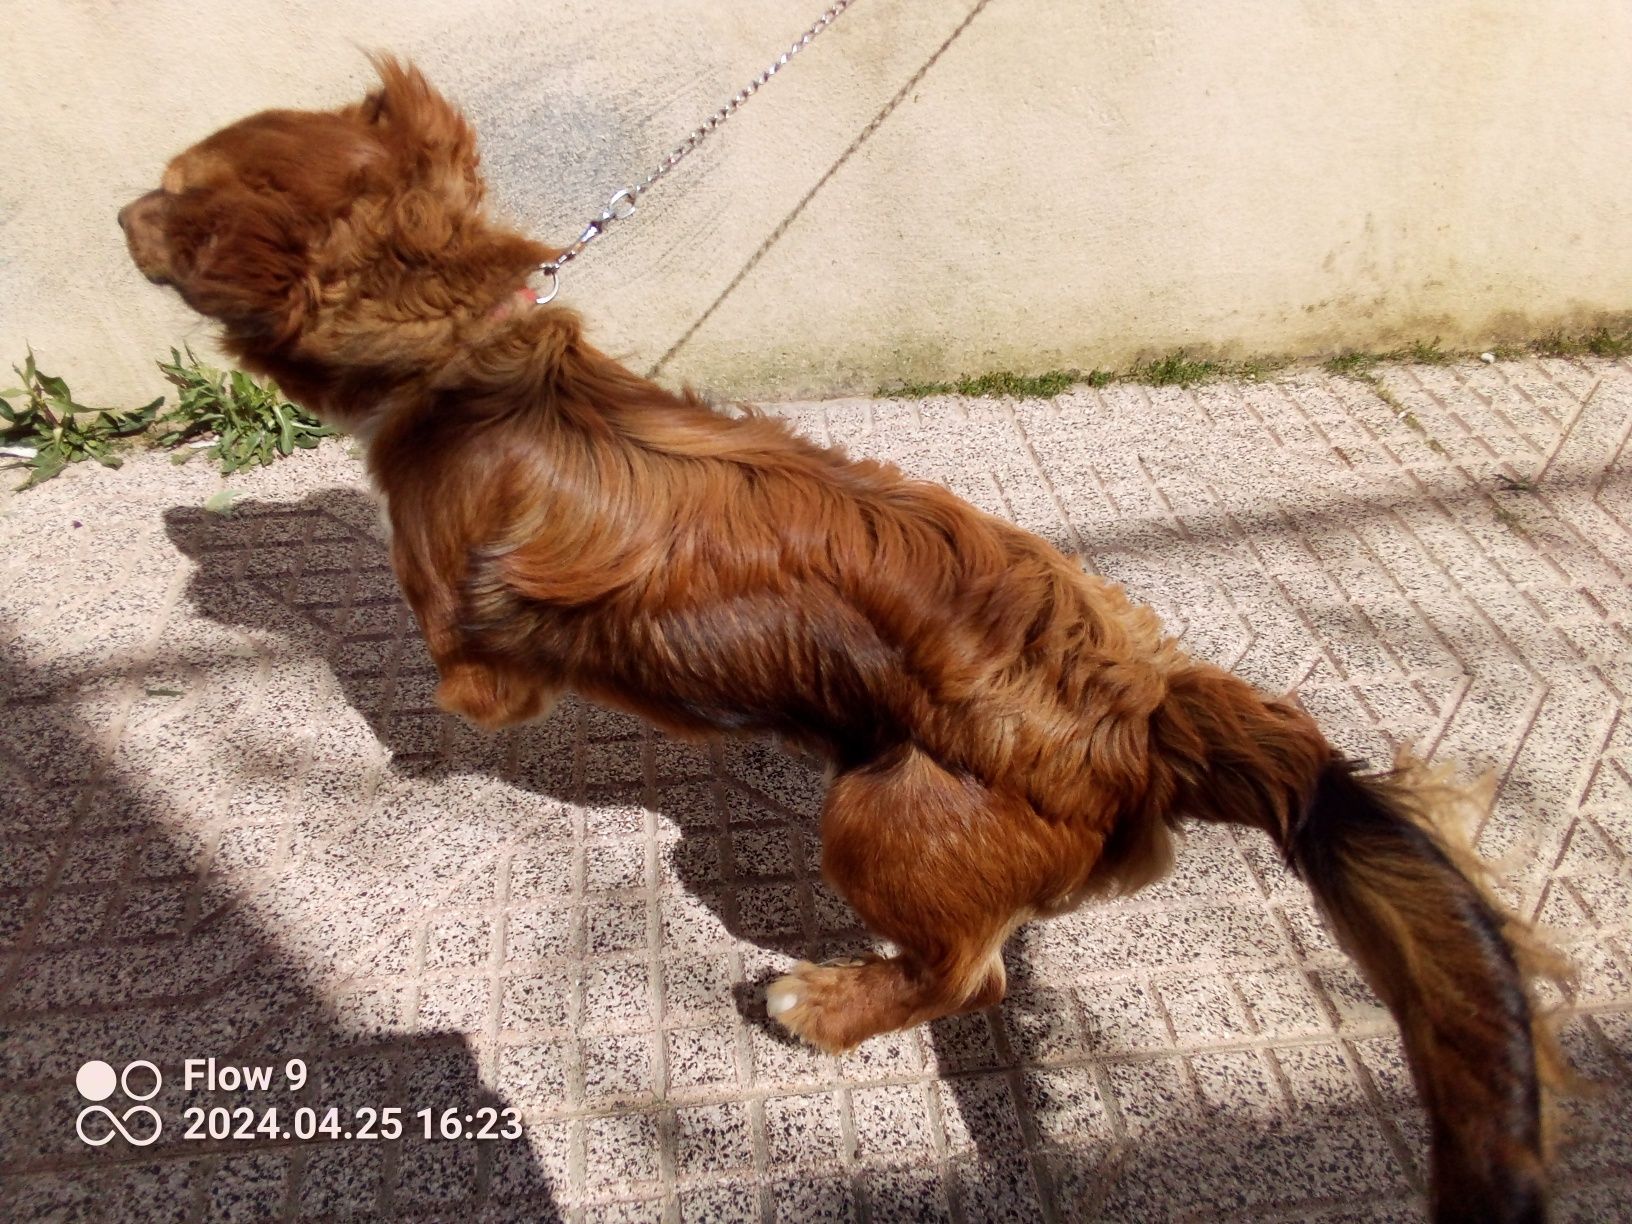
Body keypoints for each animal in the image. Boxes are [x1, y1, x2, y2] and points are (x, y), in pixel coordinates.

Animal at [124, 59, 1553, 1224]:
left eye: (179, 194)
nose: (118, 216)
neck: (475, 365)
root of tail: (1142, 713)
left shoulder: (471, 653)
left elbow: (456, 681)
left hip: (875, 817)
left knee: (966, 977)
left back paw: (826, 1002)